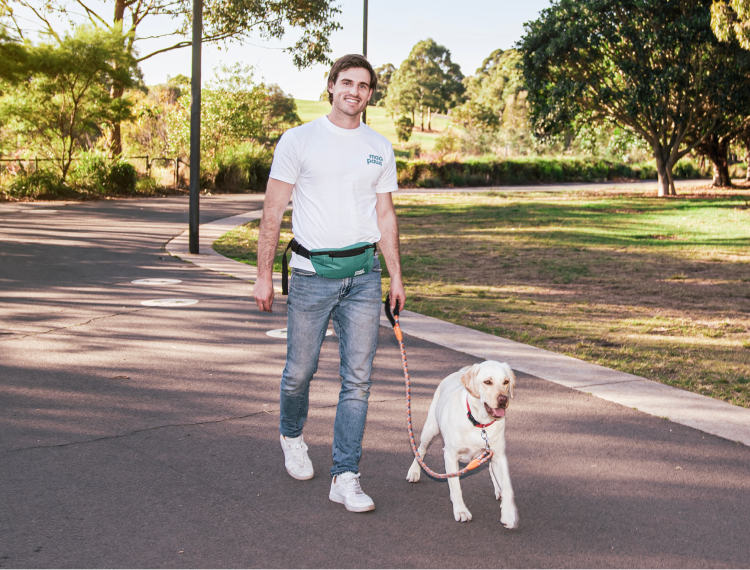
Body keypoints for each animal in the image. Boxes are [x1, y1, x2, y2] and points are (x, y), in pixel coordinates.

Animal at [408, 362, 520, 524]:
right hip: (430, 429)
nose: (503, 400)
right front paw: (461, 511)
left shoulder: (499, 455)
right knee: (421, 450)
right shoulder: (450, 456)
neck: (480, 422)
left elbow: (507, 487)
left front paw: (508, 514)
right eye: (487, 382)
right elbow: (455, 487)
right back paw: (414, 472)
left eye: (506, 382)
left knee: (491, 467)